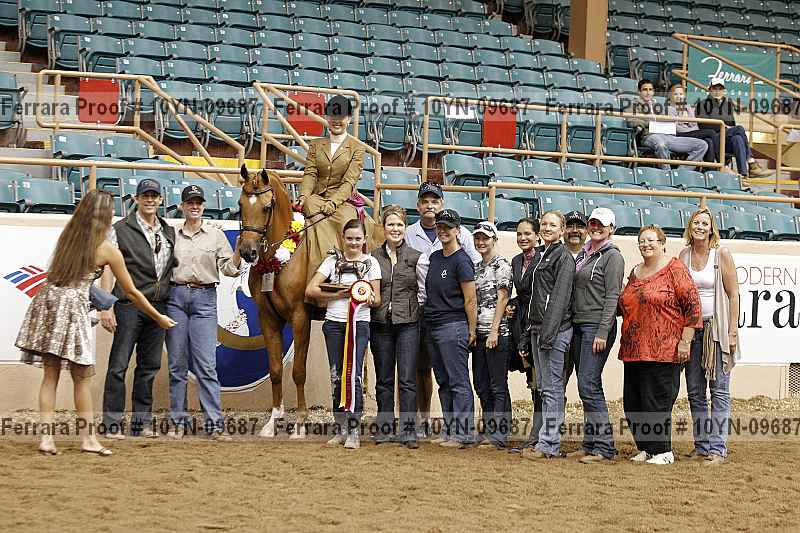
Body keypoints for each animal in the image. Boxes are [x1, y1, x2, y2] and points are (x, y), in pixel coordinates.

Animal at [237, 165, 382, 438]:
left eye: (267, 206)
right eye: (240, 204)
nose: (248, 252)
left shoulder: (300, 317)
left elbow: (298, 371)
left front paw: (301, 423)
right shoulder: (267, 317)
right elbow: (275, 370)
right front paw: (273, 421)